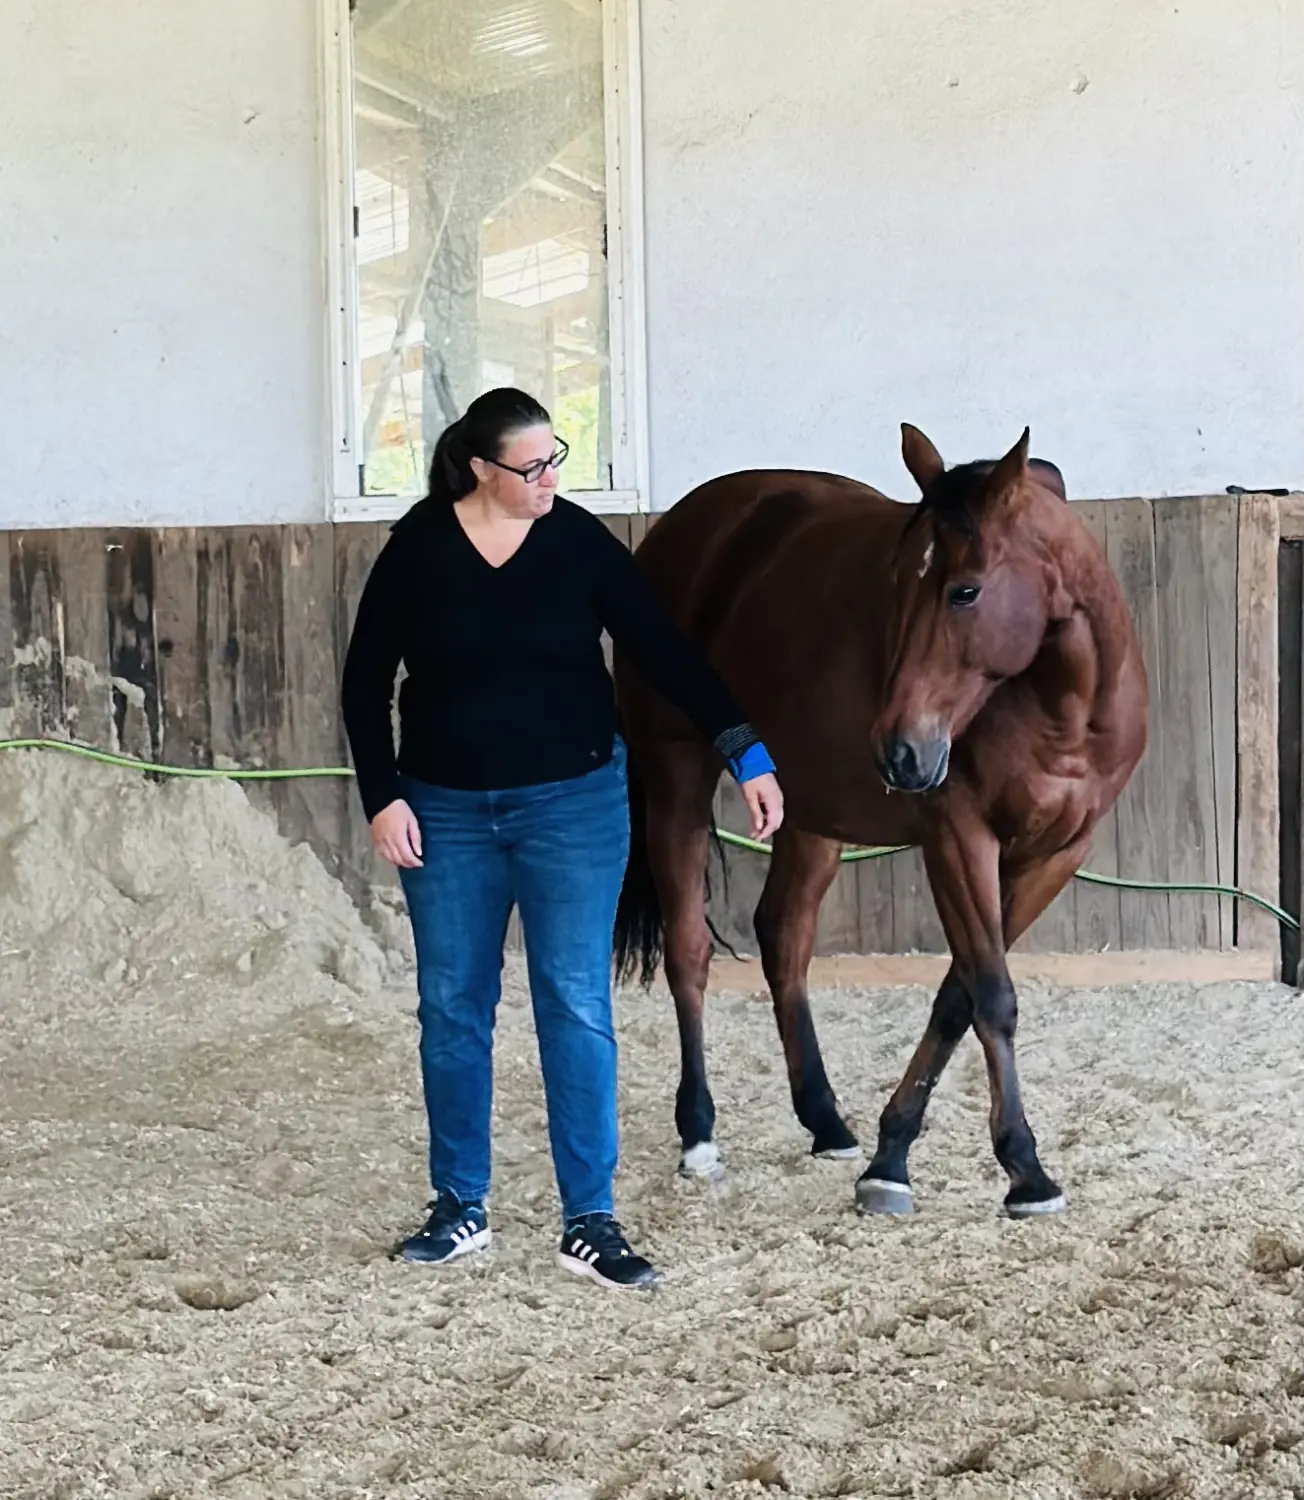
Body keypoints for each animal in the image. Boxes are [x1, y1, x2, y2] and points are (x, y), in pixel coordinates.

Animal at [609, 423, 1140, 1218]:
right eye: (896, 584)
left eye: (964, 590)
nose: (900, 751)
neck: (1065, 707)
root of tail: (680, 530)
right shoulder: (959, 841)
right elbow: (992, 996)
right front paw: (1021, 1167)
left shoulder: (1053, 855)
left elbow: (959, 997)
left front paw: (894, 1153)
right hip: (676, 779)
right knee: (689, 953)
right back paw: (698, 1133)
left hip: (810, 810)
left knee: (783, 937)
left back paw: (825, 1119)